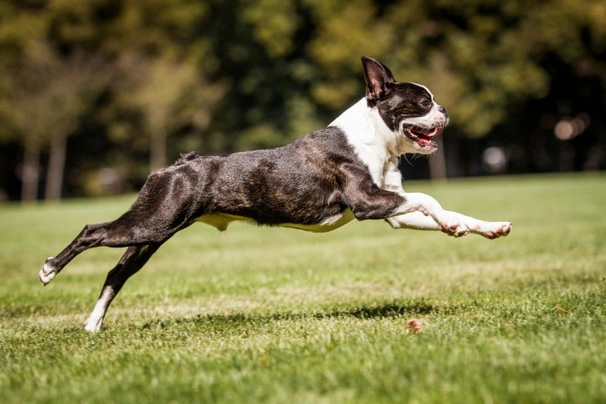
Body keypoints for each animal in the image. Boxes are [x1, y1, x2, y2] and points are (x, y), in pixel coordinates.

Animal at [39, 56, 512, 332]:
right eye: (422, 102)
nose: (445, 109)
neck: (375, 139)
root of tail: (178, 163)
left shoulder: (392, 210)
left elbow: (443, 207)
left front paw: (484, 227)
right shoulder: (366, 203)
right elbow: (430, 200)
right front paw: (450, 223)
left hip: (154, 232)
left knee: (116, 273)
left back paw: (93, 325)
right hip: (151, 222)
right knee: (92, 230)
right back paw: (49, 269)